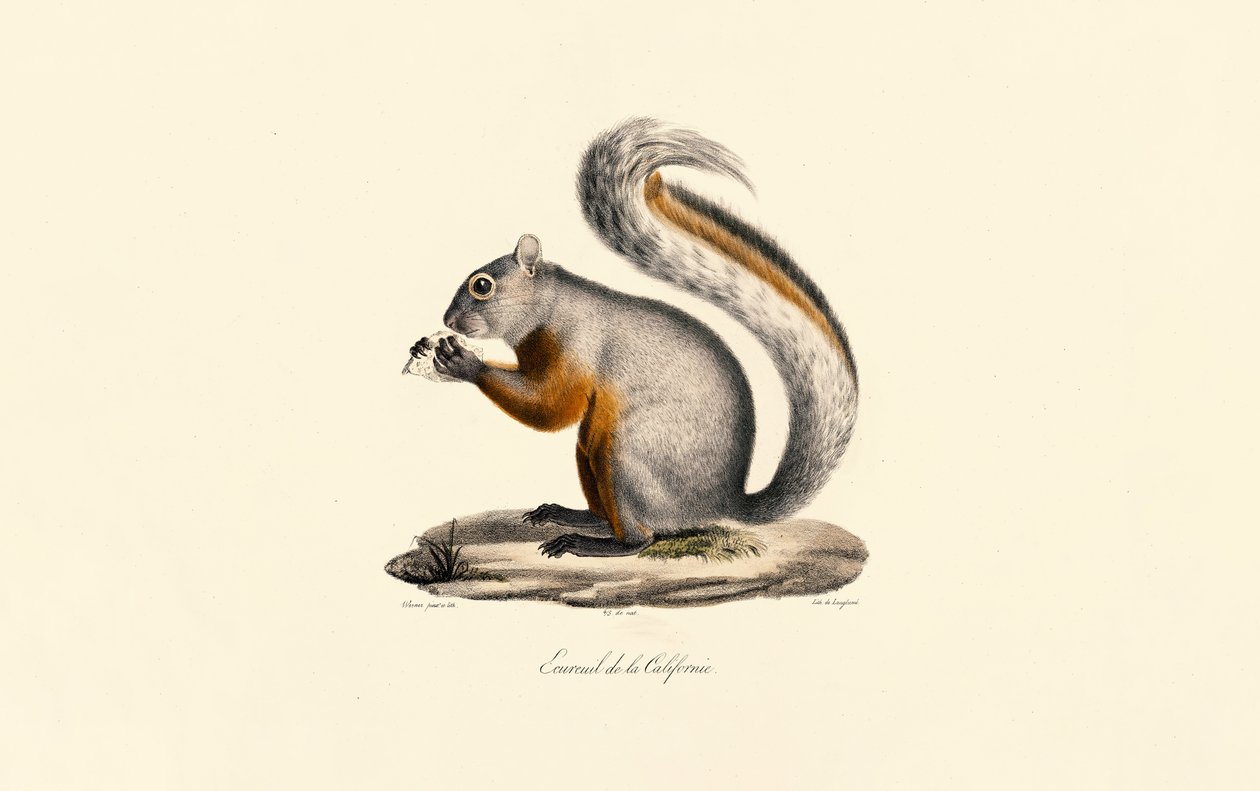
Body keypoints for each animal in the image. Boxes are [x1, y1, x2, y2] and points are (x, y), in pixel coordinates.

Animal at [416, 118, 859, 558]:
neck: (551, 307)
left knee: (640, 539)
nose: (447, 319)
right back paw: (572, 515)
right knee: (604, 509)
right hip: (590, 451)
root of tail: (724, 504)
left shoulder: (577, 345)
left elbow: (551, 407)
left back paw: (588, 543)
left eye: (482, 286)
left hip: (627, 453)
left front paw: (462, 362)